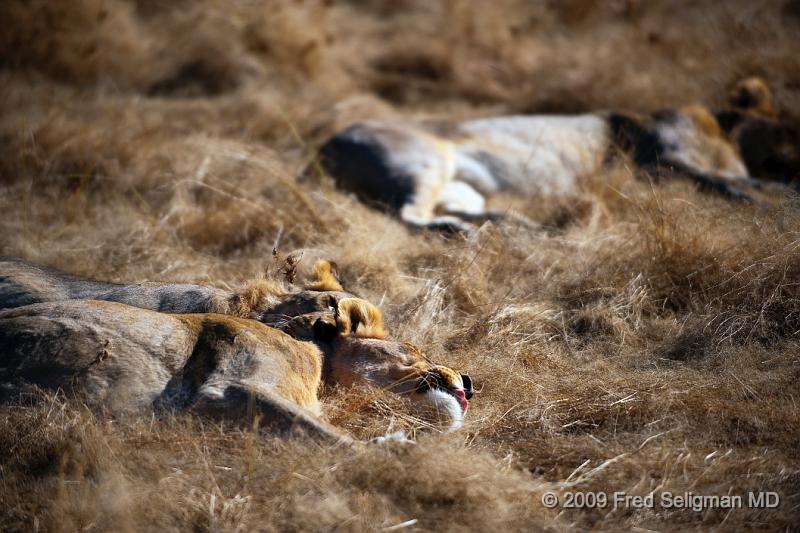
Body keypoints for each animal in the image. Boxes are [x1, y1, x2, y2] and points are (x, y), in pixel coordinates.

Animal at [316, 76, 792, 231]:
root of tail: (326, 144)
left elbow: (749, 181)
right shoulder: (662, 159)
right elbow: (730, 184)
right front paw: (773, 206)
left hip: (461, 188)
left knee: (454, 209)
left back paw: (516, 225)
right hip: (423, 162)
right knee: (409, 216)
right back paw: (460, 232)